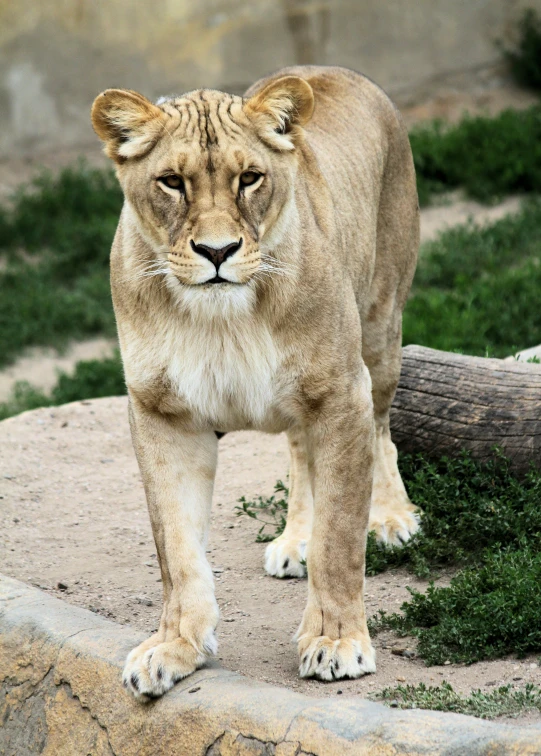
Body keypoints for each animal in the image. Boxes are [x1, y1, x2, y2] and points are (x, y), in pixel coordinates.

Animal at [90, 65, 420, 696]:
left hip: (379, 329)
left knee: (383, 429)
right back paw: (295, 540)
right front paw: (173, 647)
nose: (217, 251)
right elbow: (176, 548)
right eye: (172, 182)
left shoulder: (341, 390)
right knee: (300, 450)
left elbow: (340, 538)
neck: (222, 319)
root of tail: (335, 70)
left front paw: (336, 643)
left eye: (249, 178)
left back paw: (392, 518)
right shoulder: (162, 411)